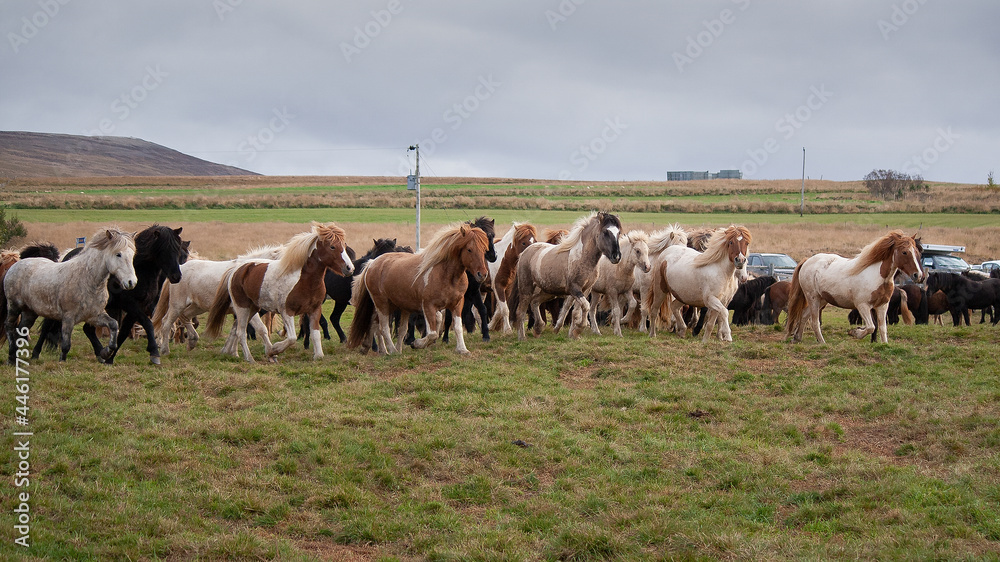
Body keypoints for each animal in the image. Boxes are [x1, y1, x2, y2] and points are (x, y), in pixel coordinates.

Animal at [3, 228, 138, 364]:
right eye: (118, 254)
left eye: (132, 255)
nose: (131, 282)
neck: (88, 280)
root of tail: (15, 265)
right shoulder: (68, 318)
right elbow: (66, 345)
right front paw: (62, 362)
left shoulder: (94, 315)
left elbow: (114, 325)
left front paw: (105, 353)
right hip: (14, 306)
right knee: (9, 327)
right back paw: (11, 358)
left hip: (30, 312)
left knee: (20, 330)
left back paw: (16, 357)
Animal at [205, 221, 354, 360]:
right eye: (332, 246)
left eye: (344, 246)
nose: (349, 268)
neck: (304, 281)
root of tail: (236, 270)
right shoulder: (287, 312)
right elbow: (292, 338)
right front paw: (274, 349)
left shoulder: (314, 310)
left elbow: (315, 334)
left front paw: (318, 356)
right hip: (242, 307)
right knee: (240, 332)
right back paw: (249, 358)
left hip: (253, 308)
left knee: (237, 328)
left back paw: (231, 352)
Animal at [348, 221, 492, 352]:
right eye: (469, 249)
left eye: (484, 250)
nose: (482, 274)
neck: (447, 276)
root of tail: (372, 263)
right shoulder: (428, 306)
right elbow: (432, 333)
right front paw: (417, 343)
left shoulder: (457, 304)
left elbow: (456, 327)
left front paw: (462, 349)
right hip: (382, 304)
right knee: (383, 328)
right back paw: (392, 351)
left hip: (393, 305)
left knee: (377, 324)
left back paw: (377, 349)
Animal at [512, 212, 620, 340]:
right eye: (605, 232)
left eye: (618, 233)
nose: (617, 256)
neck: (582, 257)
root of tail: (524, 253)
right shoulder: (575, 289)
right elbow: (586, 306)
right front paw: (578, 329)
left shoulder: (585, 290)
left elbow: (578, 311)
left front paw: (575, 334)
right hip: (526, 289)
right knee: (521, 311)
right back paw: (522, 337)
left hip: (548, 291)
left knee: (535, 302)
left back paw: (538, 328)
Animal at [788, 228, 920, 342]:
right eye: (904, 252)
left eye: (917, 252)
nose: (918, 275)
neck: (878, 277)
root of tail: (807, 261)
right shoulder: (862, 306)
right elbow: (871, 327)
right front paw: (855, 332)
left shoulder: (882, 306)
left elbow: (882, 328)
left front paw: (884, 344)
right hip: (813, 298)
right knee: (814, 322)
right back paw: (822, 342)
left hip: (822, 299)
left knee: (804, 315)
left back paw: (797, 338)